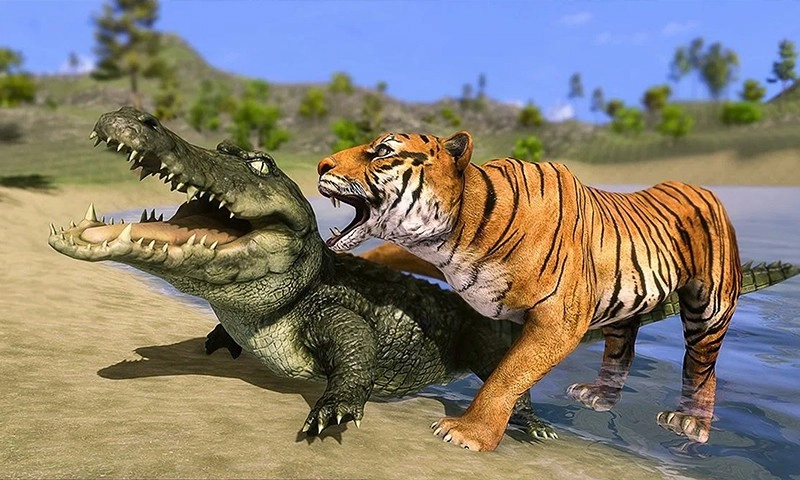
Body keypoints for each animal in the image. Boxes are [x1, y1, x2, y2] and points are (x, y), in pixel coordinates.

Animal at [316, 131, 741, 452]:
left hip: (709, 307)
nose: (321, 166)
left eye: (383, 151)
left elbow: (507, 375)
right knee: (622, 348)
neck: (459, 231)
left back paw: (689, 423)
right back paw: (599, 397)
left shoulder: (560, 320)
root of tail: (706, 190)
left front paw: (467, 433)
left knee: (703, 366)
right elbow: (381, 252)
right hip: (622, 306)